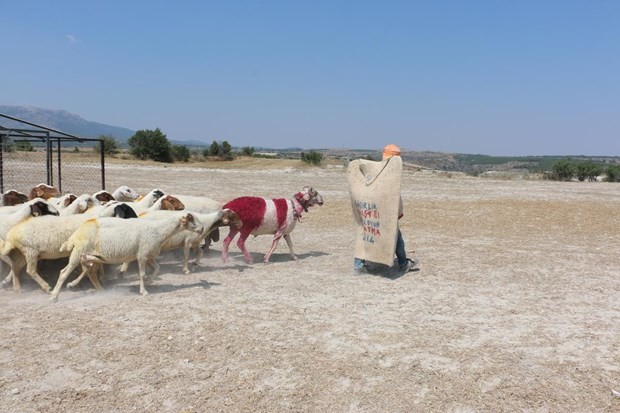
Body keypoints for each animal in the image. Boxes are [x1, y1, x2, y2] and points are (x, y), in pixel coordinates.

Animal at [52, 212, 203, 300]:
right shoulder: (142, 255)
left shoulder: (149, 255)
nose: (201, 229)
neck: (158, 231)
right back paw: (54, 296)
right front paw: (144, 291)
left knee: (90, 270)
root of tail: (77, 232)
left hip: (87, 253)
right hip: (78, 252)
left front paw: (150, 280)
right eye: (191, 220)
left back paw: (98, 289)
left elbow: (157, 269)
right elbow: (142, 274)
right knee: (64, 273)